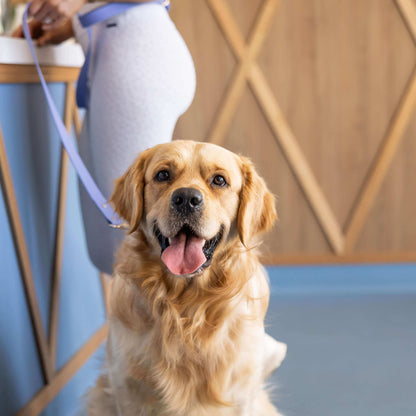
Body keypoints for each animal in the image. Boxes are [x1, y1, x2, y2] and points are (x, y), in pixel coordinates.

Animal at [85, 141, 286, 416]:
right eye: (162, 175)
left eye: (219, 180)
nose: (187, 199)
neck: (185, 308)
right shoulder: (127, 387)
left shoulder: (240, 393)